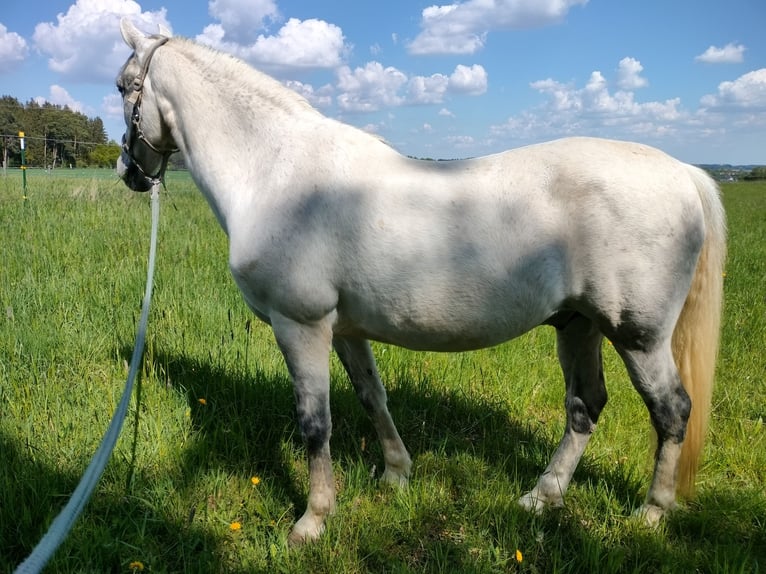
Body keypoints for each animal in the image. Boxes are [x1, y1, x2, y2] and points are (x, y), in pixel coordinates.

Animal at [116, 19, 726, 545]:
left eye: (123, 87)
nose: (130, 172)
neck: (275, 172)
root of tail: (683, 172)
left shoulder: (300, 325)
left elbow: (315, 423)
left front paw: (312, 520)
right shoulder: (343, 329)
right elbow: (371, 396)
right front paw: (395, 474)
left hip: (639, 337)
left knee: (672, 411)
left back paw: (651, 513)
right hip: (579, 324)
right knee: (585, 405)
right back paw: (542, 497)